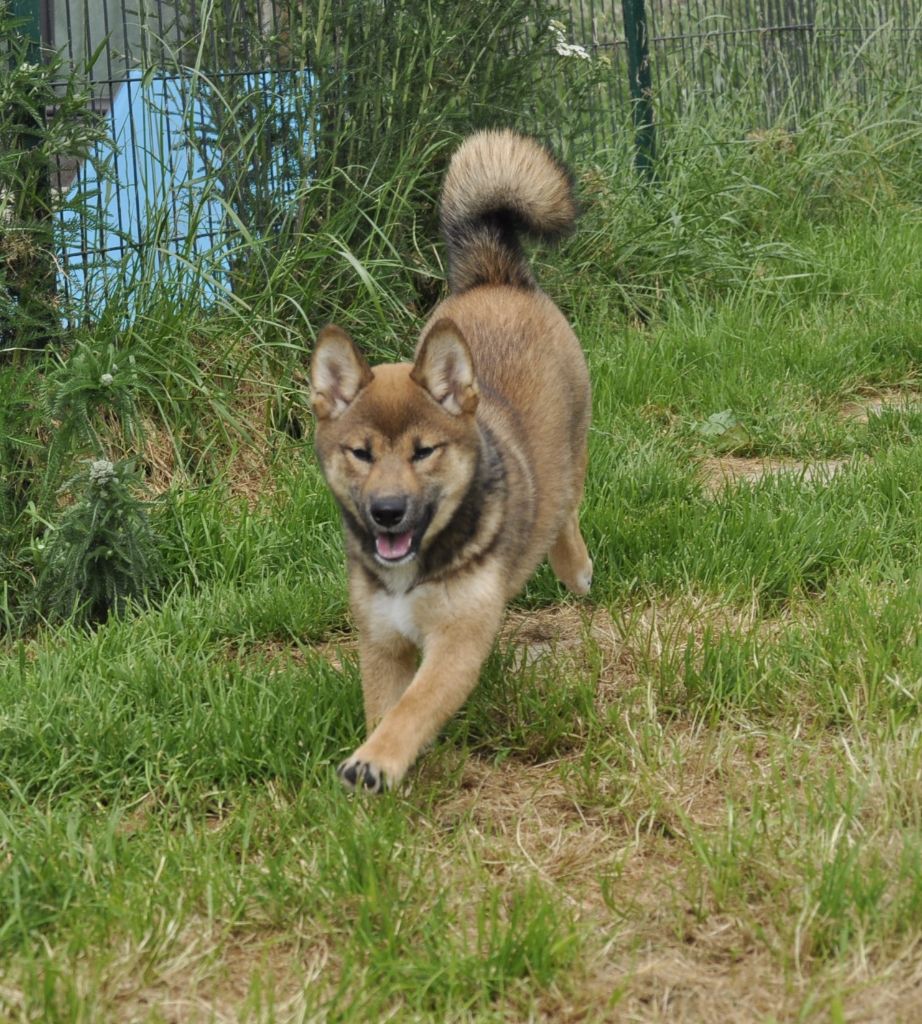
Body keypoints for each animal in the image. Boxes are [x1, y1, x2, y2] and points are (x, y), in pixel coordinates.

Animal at [310, 129, 592, 791]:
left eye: (423, 452)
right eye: (360, 454)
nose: (387, 512)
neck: (415, 571)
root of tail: (496, 274)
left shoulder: (457, 643)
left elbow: (414, 708)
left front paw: (376, 761)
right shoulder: (382, 642)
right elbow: (384, 707)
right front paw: (381, 764)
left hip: (574, 443)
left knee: (564, 505)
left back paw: (575, 567)